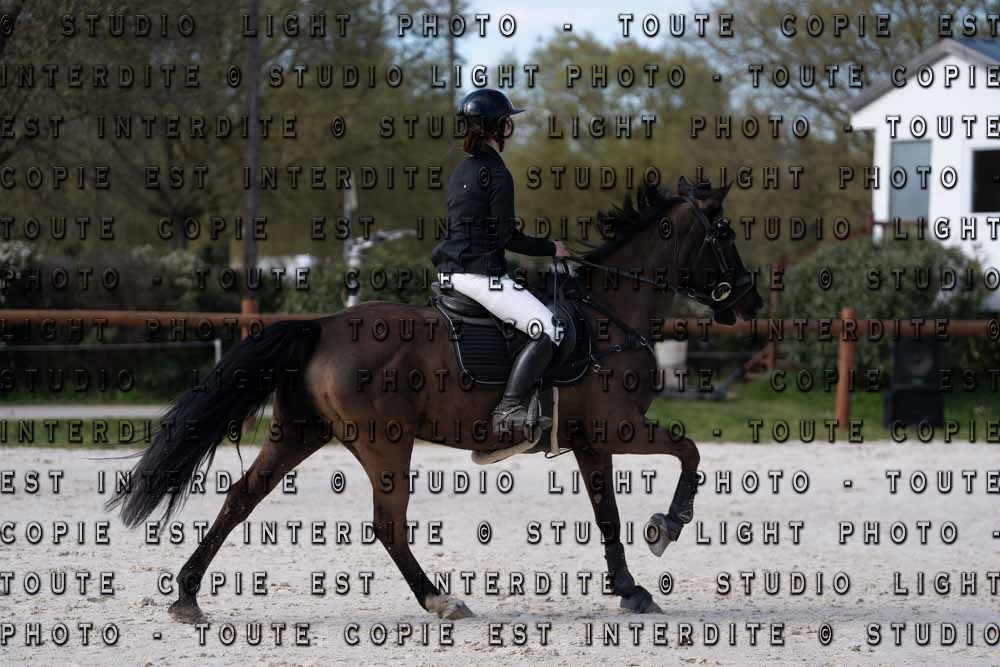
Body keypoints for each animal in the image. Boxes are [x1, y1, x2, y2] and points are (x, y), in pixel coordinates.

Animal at [107, 179, 764, 623]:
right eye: (725, 234)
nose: (751, 302)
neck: (611, 315)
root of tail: (321, 325)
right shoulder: (619, 427)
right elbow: (690, 453)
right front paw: (667, 526)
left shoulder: (589, 441)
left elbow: (606, 513)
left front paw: (630, 589)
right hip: (384, 445)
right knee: (387, 524)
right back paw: (440, 599)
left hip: (300, 433)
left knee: (242, 497)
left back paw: (187, 595)